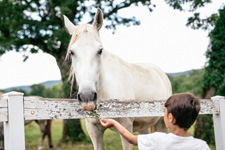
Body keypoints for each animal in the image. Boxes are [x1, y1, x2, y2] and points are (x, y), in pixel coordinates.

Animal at [63, 8, 172, 150]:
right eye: (72, 52)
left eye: (100, 50)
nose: (87, 97)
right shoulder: (94, 131)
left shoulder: (126, 129)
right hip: (144, 127)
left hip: (162, 124)